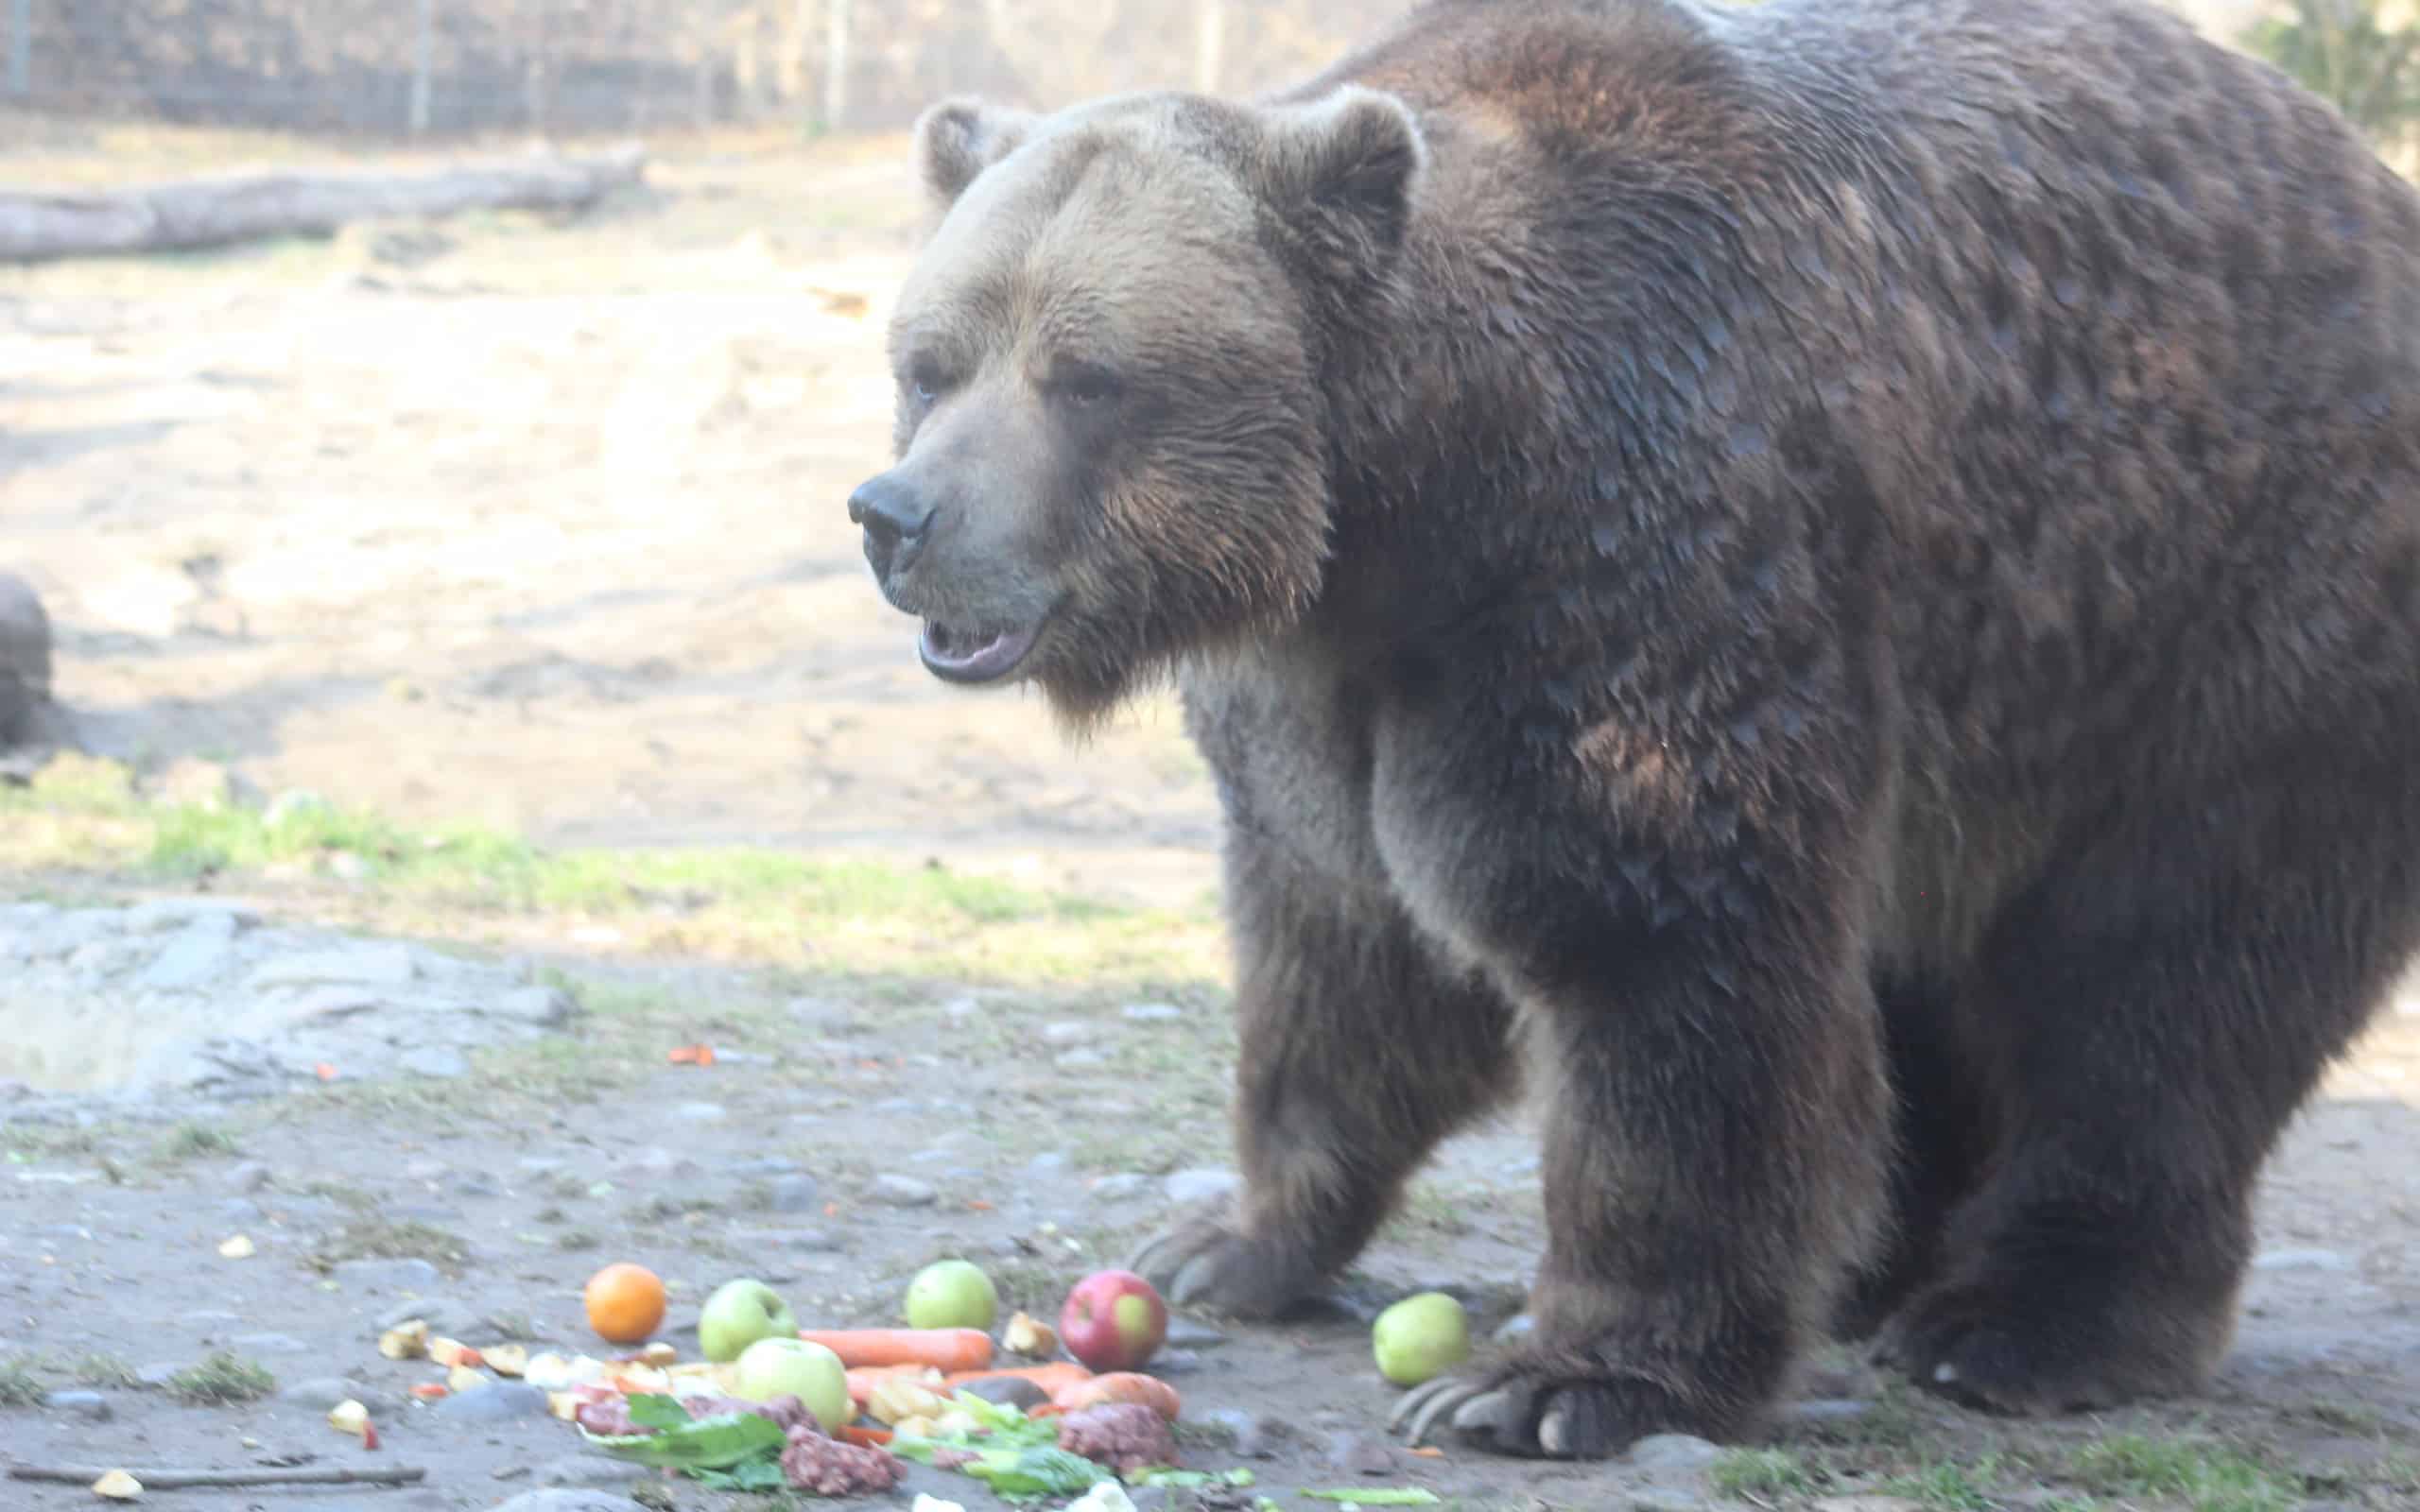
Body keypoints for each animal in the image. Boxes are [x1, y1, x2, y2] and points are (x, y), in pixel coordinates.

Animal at [847, 0, 2420, 1461]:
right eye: (933, 359)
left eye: (1086, 373)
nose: (896, 515)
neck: (1400, 508)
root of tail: (2361, 179)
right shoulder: (1324, 689)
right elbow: (1338, 942)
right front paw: (1229, 1242)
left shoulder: (1630, 563)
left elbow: (1653, 951)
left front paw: (1555, 1380)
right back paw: (1876, 1269)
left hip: (2219, 610)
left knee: (2163, 980)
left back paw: (2023, 1322)